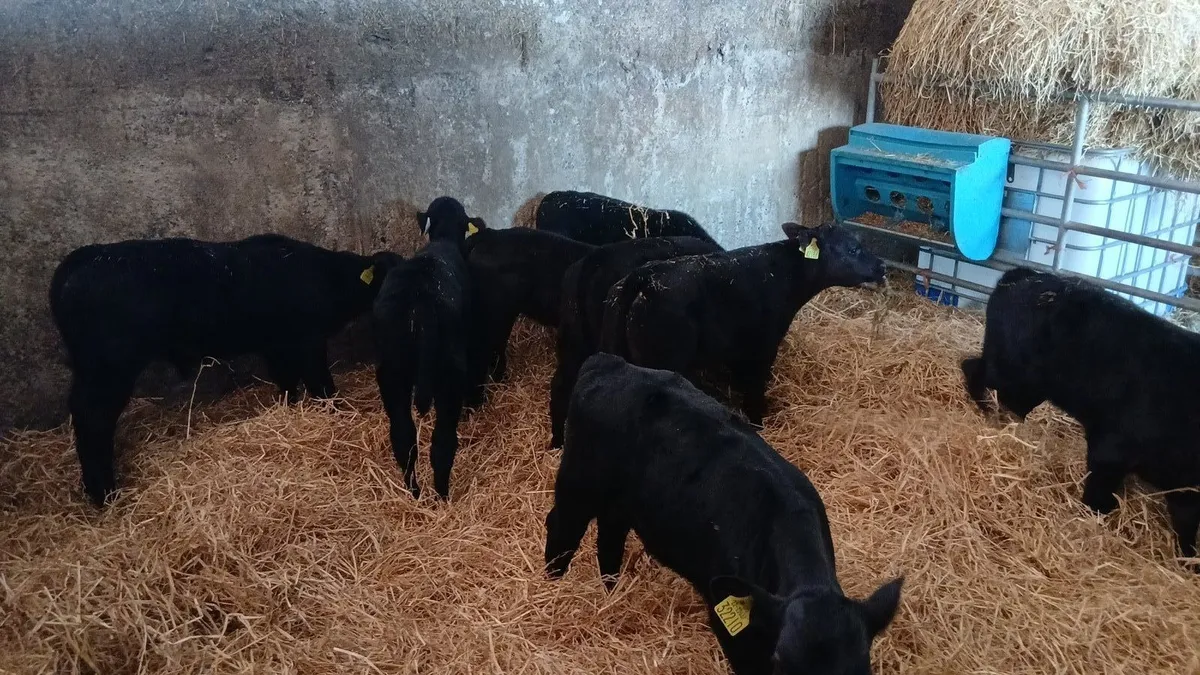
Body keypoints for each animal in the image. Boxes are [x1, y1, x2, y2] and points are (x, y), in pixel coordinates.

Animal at [49, 234, 390, 506]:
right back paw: (104, 493)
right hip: (108, 368)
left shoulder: (277, 345)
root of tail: (81, 259)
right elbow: (322, 385)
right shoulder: (308, 342)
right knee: (92, 417)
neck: (326, 277)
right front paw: (336, 413)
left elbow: (288, 384)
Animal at [373, 196, 480, 500]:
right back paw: (442, 496)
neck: (442, 239)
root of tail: (419, 304)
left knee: (403, 437)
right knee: (442, 442)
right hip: (449, 374)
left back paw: (414, 492)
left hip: (391, 372)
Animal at [545, 353, 904, 675]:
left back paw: (612, 592)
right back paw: (552, 583)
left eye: (863, 668)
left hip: (621, 503)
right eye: (781, 663)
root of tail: (610, 362)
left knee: (609, 539)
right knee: (562, 527)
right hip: (577, 484)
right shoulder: (728, 620)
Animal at [600, 221, 886, 425]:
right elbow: (754, 390)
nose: (881, 266)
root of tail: (642, 277)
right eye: (853, 249)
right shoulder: (762, 347)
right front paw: (759, 422)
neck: (786, 275)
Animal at [962, 267, 1200, 566]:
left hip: (1027, 387)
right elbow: (1098, 494)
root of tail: (1022, 275)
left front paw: (1189, 560)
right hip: (1008, 371)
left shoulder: (1186, 489)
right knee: (972, 368)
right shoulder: (1110, 449)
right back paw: (988, 413)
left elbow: (1186, 524)